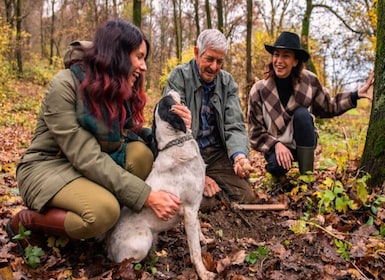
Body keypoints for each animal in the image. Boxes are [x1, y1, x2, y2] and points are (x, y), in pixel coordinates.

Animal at [105, 91, 216, 278]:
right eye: (168, 100)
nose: (170, 90)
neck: (177, 143)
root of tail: (108, 245)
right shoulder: (189, 210)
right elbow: (195, 251)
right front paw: (203, 273)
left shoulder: (194, 209)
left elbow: (199, 228)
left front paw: (204, 239)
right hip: (143, 240)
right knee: (126, 264)